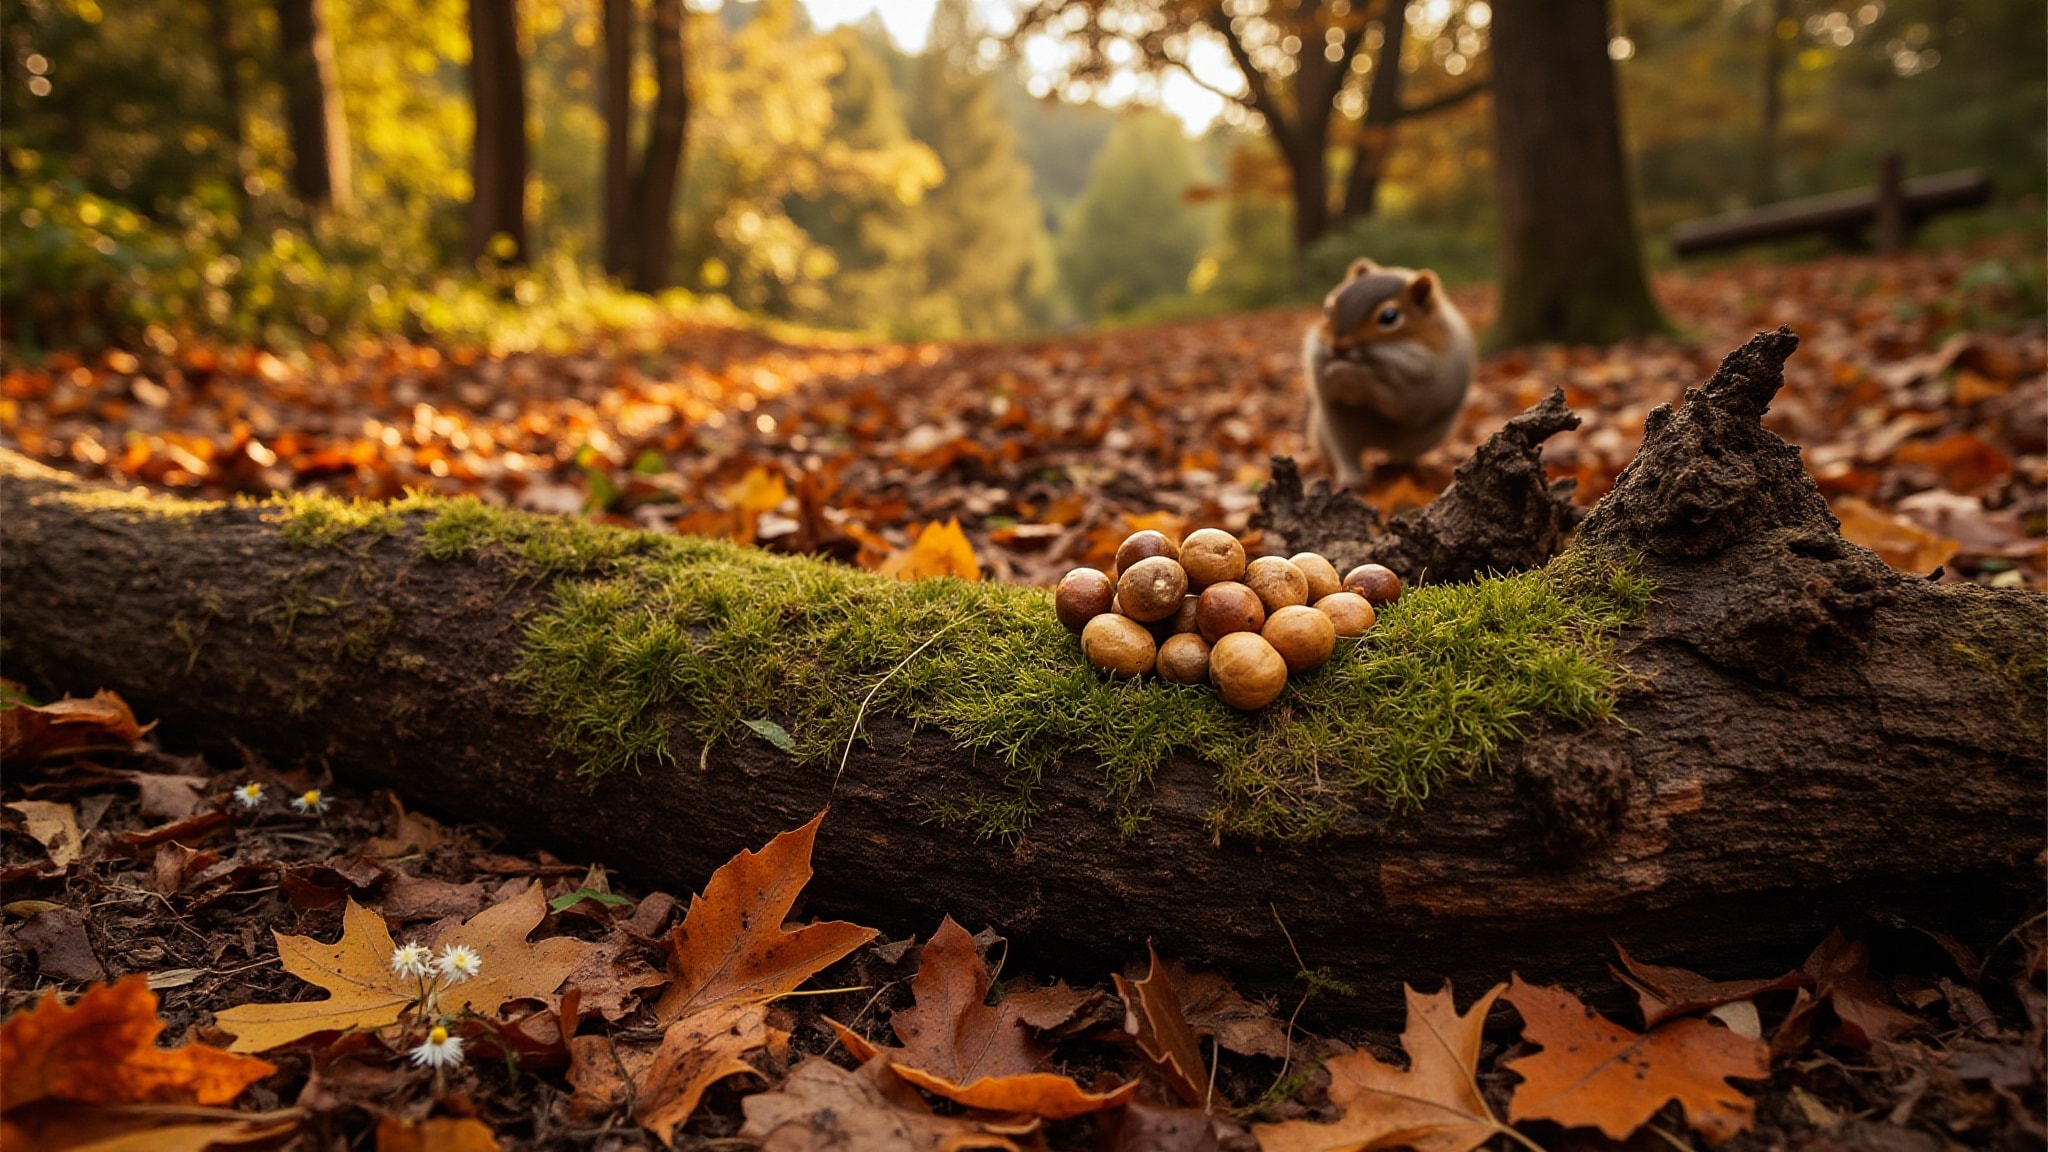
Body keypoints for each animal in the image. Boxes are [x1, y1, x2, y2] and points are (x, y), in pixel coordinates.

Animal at [1301, 258, 1475, 488]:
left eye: (1389, 317)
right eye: (1328, 309)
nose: (1338, 348)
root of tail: (1378, 443)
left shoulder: (1429, 388)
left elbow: (1398, 402)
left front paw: (1354, 372)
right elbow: (1322, 383)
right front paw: (1335, 371)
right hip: (1336, 429)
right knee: (1346, 453)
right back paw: (1351, 478)